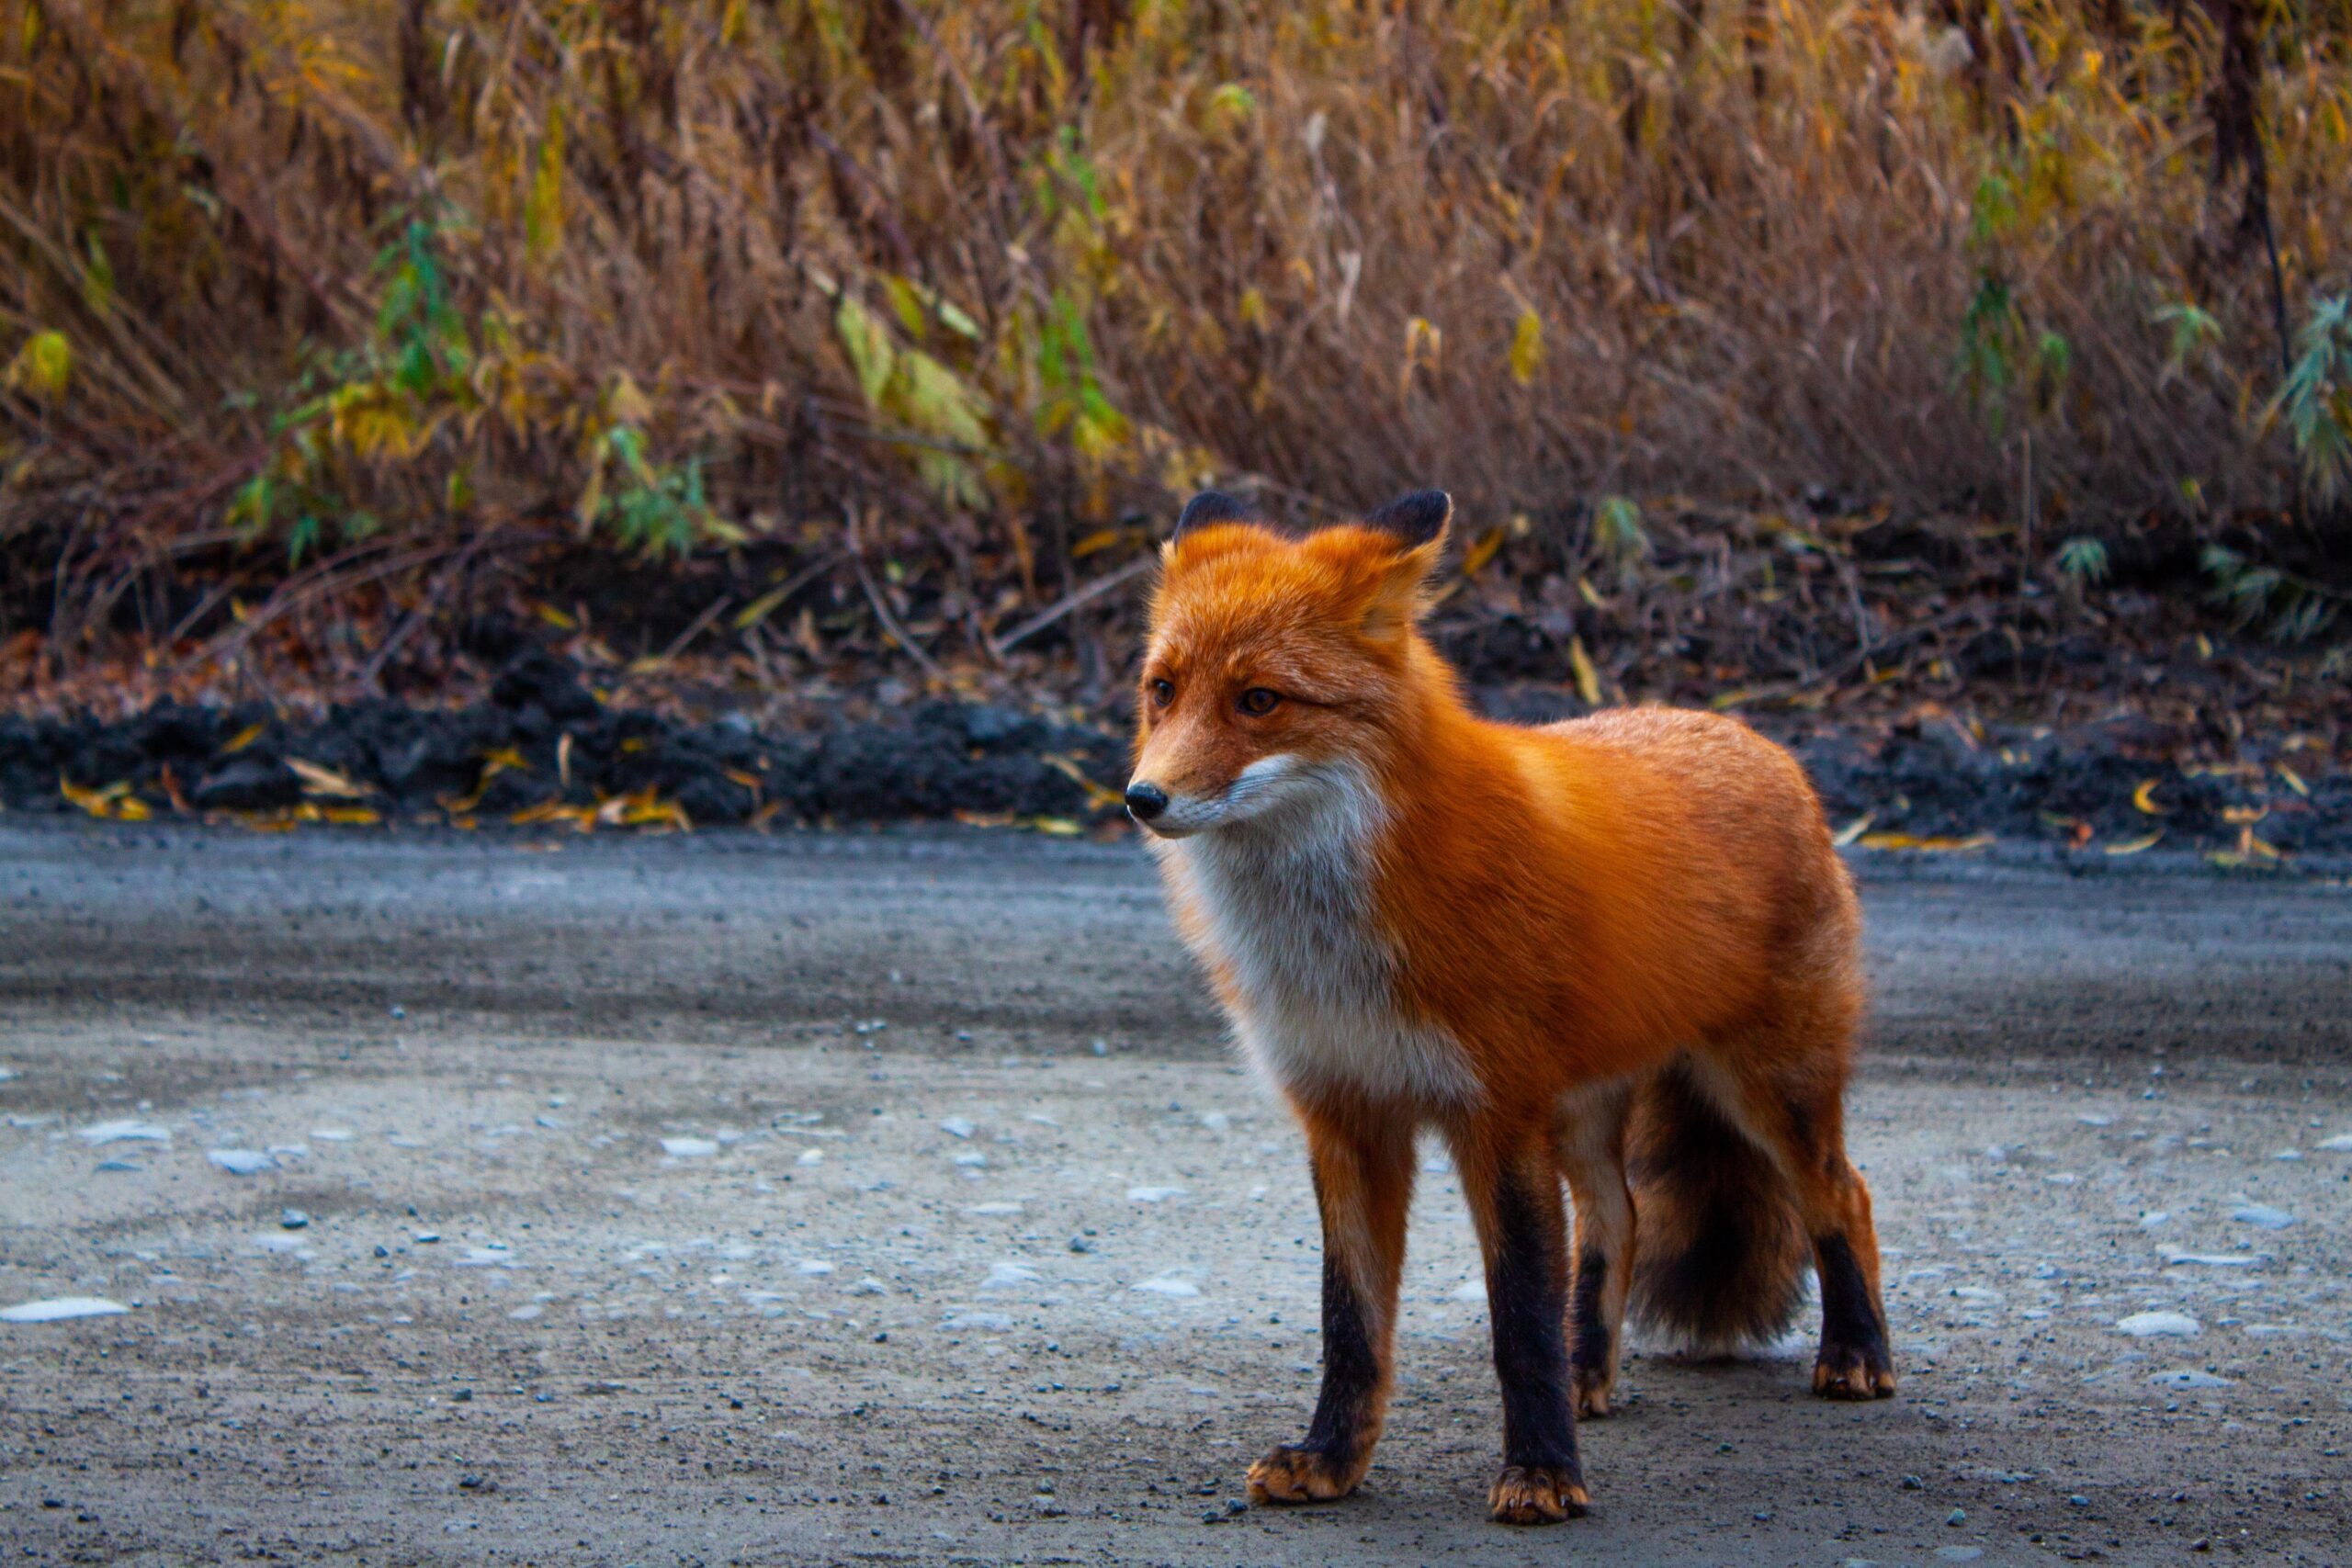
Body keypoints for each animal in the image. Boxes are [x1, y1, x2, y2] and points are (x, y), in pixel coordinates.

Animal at [1125, 488, 1894, 1526]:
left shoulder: (1497, 1114)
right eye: (1163, 689)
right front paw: (1330, 1460)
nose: (1142, 797)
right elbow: (1350, 1323)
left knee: (1841, 1194)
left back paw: (1854, 1353)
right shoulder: (1346, 1114)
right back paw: (1589, 1372)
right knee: (1619, 1219)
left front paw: (1541, 1474)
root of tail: (1759, 742)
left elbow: (1519, 1317)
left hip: (1769, 1085)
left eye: (1258, 701)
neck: (1334, 942)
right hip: (1588, 1110)